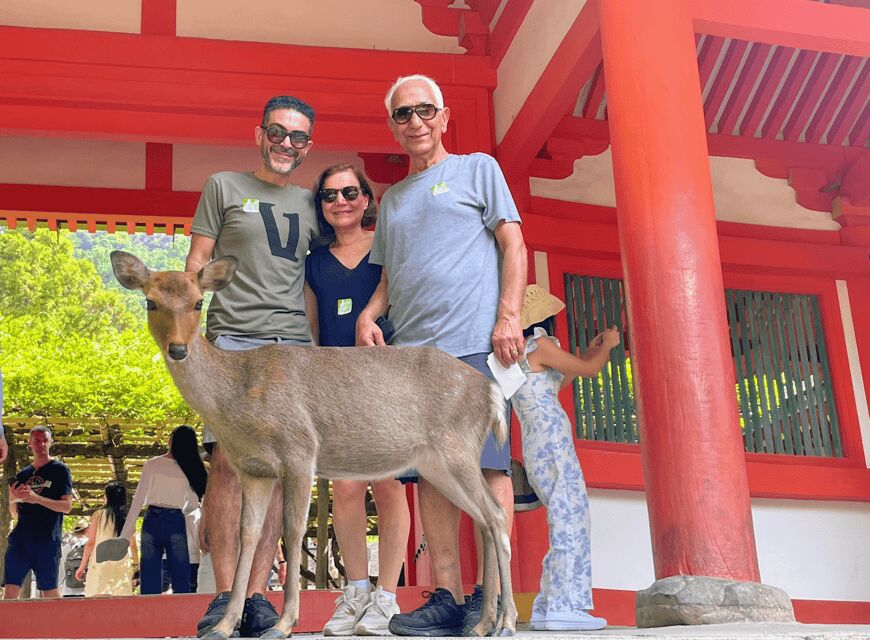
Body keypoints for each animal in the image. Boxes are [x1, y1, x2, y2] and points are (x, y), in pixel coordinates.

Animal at [108, 250, 517, 640]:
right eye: (150, 301)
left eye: (197, 302)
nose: (178, 349)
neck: (239, 400)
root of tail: (491, 392)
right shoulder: (253, 469)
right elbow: (247, 536)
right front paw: (223, 626)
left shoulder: (299, 450)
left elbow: (292, 531)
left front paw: (283, 624)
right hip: (438, 464)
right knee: (485, 518)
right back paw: (483, 624)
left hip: (458, 447)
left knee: (496, 514)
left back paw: (506, 621)